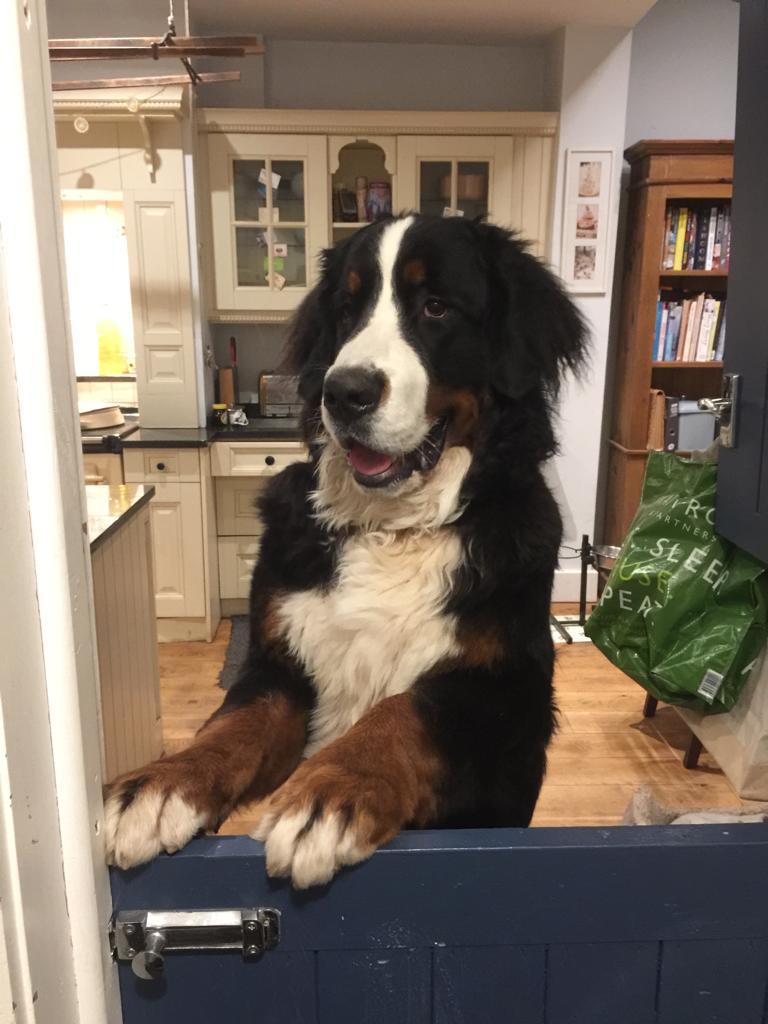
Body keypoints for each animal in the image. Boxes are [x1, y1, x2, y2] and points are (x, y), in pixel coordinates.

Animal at [105, 214, 587, 888]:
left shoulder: (510, 690)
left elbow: (408, 709)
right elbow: (234, 723)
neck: (393, 526)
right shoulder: (280, 663)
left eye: (436, 306)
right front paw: (162, 785)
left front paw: (328, 794)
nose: (345, 391)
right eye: (346, 310)